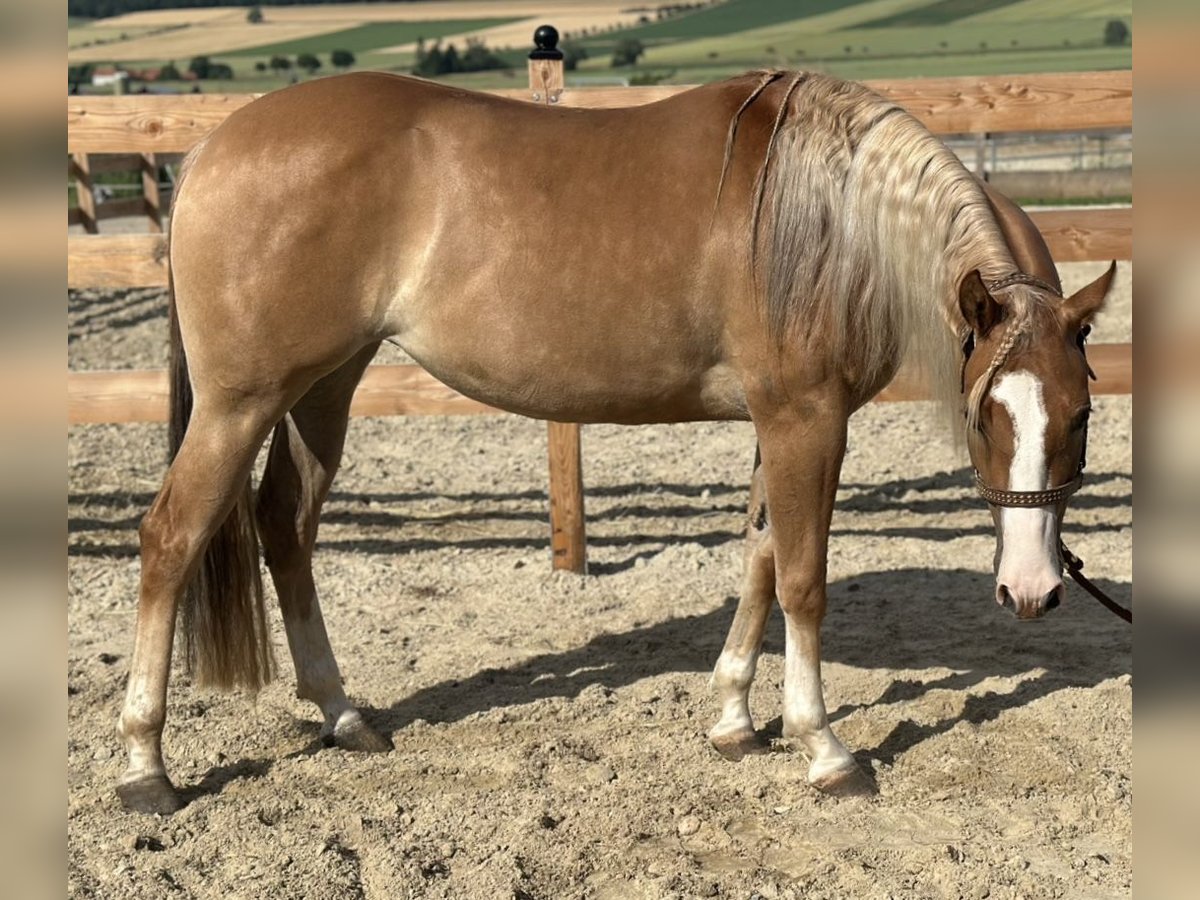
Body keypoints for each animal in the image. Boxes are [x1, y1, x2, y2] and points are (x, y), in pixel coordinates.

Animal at [114, 70, 1115, 814]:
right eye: (986, 415)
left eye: (1079, 416)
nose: (1032, 590)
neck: (837, 221)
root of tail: (211, 147)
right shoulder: (806, 418)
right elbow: (802, 578)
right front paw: (824, 748)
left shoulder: (777, 422)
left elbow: (758, 558)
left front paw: (733, 718)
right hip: (240, 402)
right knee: (171, 538)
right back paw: (144, 766)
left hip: (325, 386)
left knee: (285, 525)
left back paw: (342, 714)